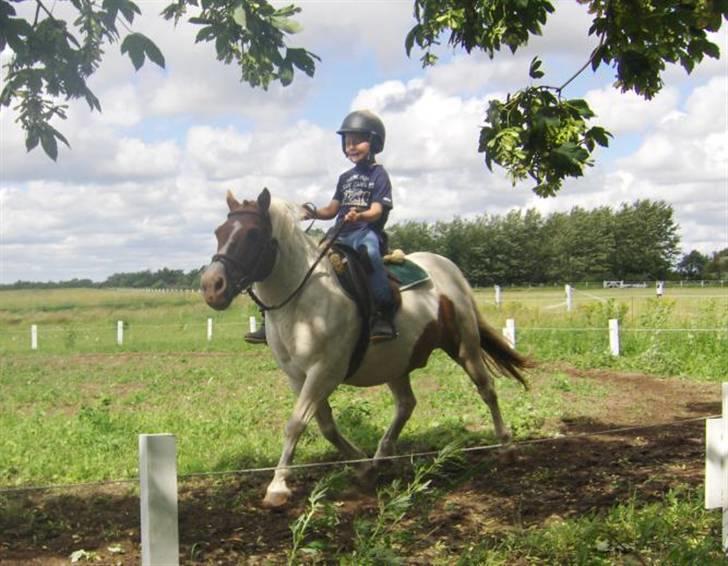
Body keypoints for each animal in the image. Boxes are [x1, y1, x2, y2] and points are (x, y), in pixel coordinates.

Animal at [199, 191, 528, 510]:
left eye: (252, 234)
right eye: (219, 232)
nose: (212, 286)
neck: (302, 303)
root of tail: (447, 268)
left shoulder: (325, 372)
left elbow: (296, 424)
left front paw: (277, 487)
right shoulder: (297, 376)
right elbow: (326, 426)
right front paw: (363, 467)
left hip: (465, 347)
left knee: (487, 390)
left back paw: (507, 447)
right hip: (396, 361)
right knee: (406, 405)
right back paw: (381, 459)